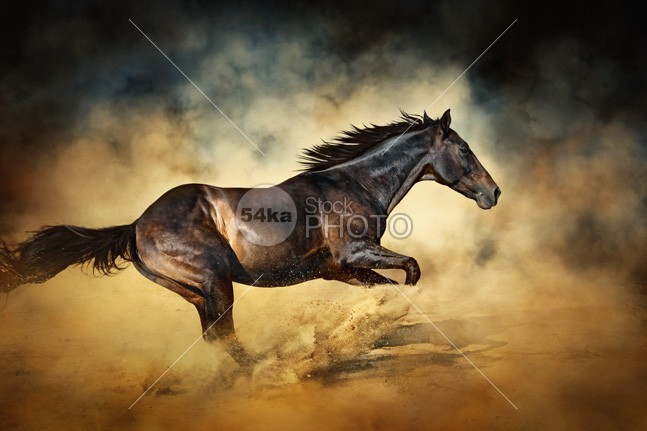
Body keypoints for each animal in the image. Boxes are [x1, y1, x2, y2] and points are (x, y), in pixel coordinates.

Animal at [0, 109, 500, 366]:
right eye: (464, 149)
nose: (493, 192)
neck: (354, 184)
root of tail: (137, 225)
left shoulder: (338, 270)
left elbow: (387, 288)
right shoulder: (355, 253)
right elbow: (410, 270)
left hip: (196, 292)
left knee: (216, 338)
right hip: (216, 285)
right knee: (225, 337)